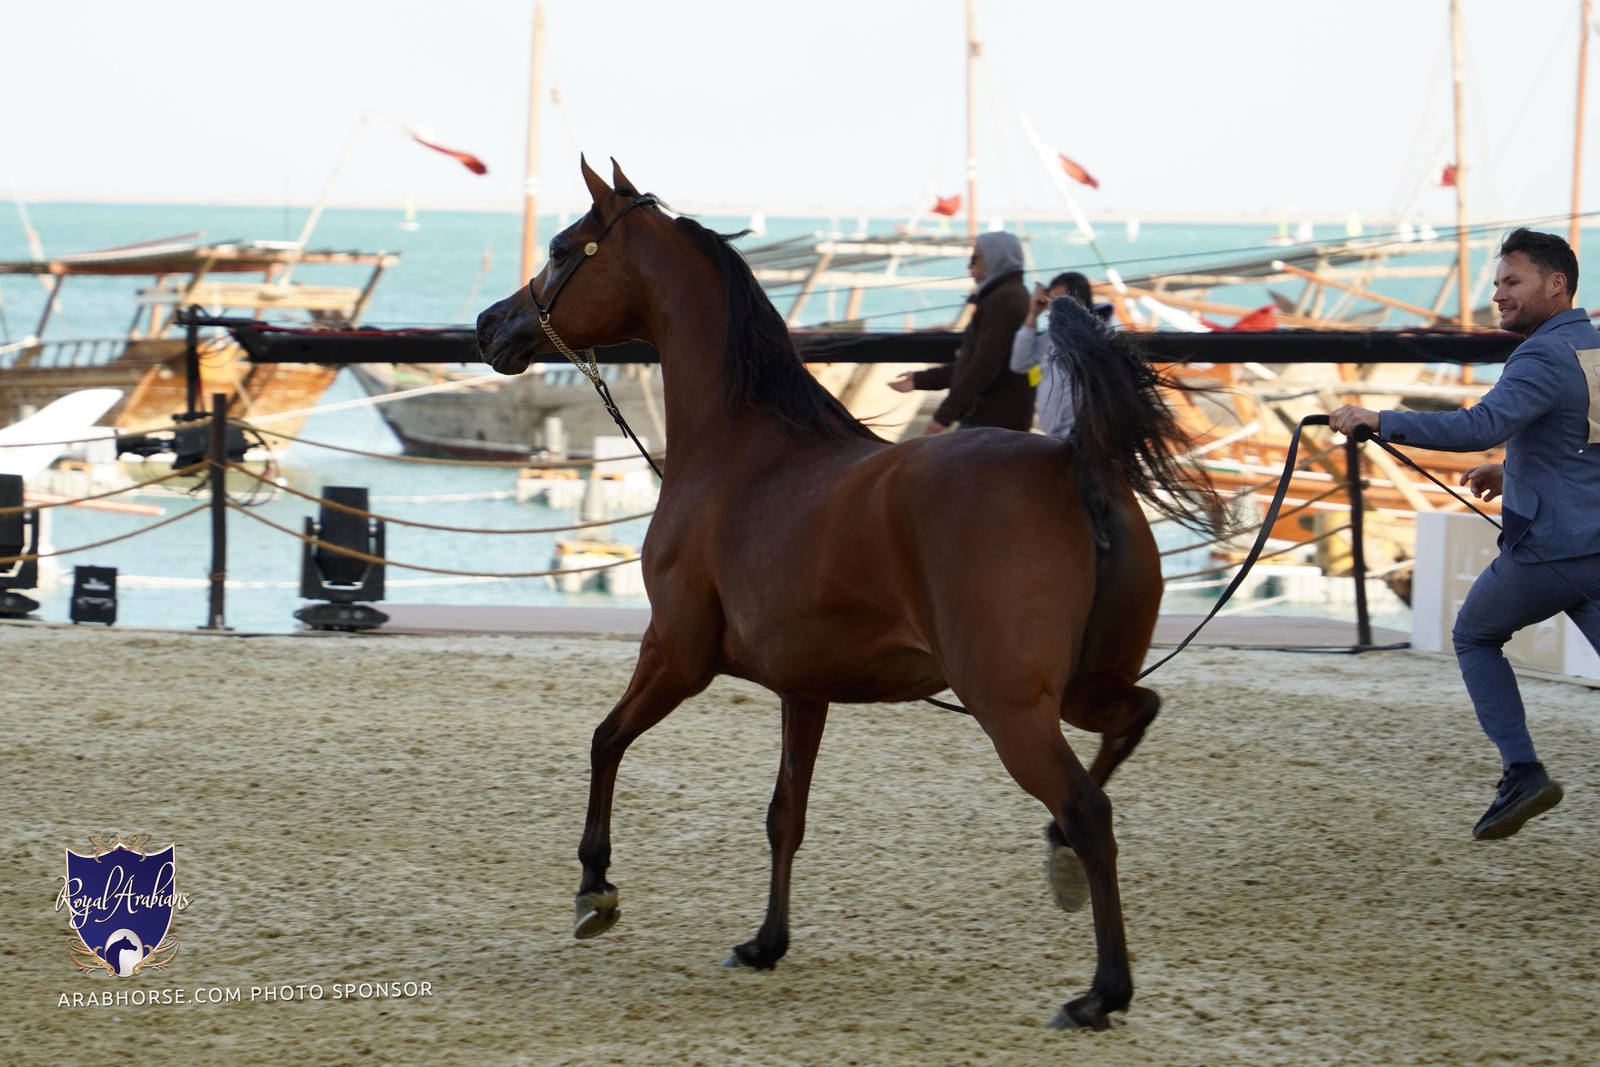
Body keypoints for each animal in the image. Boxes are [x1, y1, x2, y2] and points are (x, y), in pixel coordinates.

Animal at [476, 157, 1226, 1030]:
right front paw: (765, 942)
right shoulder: (804, 690)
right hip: (1078, 688)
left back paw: (1101, 988)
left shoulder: (677, 653)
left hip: (1009, 705)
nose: (490, 327)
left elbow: (605, 740)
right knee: (1134, 722)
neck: (740, 447)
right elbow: (784, 816)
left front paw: (595, 889)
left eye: (563, 249)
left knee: (1090, 810)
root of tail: (1072, 460)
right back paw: (1060, 864)